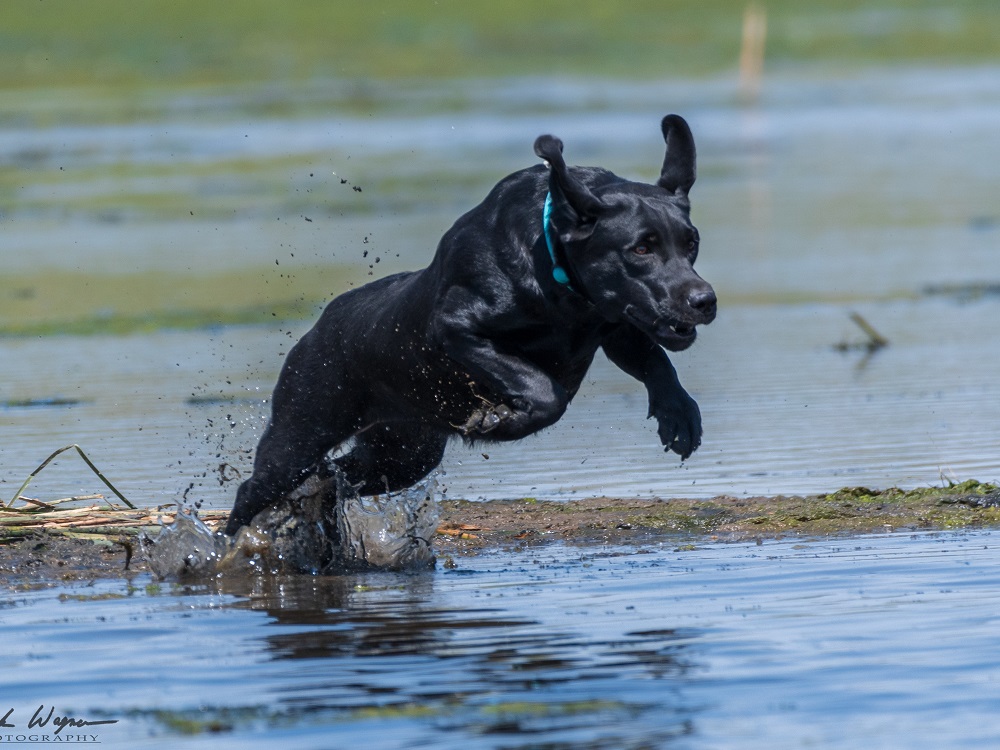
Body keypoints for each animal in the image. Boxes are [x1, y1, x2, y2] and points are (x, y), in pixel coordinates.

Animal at [227, 114, 716, 536]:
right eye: (641, 249)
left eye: (691, 242)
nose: (704, 300)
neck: (554, 269)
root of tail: (320, 327)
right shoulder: (457, 327)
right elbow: (544, 390)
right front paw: (498, 420)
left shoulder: (616, 325)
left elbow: (654, 361)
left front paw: (678, 413)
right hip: (303, 426)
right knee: (256, 487)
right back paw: (232, 545)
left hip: (401, 454)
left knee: (334, 478)